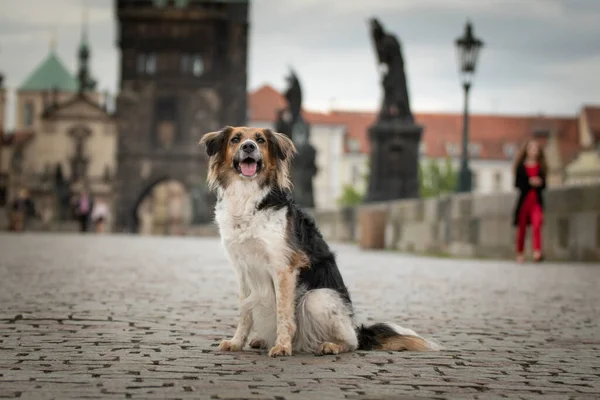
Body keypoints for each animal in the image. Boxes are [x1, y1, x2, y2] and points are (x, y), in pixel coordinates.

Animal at [199, 126, 438, 356]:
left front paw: (282, 347)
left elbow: (283, 314)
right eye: (236, 139)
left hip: (318, 297)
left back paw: (330, 346)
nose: (248, 147)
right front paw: (236, 343)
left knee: (352, 342)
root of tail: (357, 328)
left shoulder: (283, 268)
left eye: (260, 140)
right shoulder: (243, 270)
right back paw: (263, 341)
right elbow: (245, 312)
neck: (247, 196)